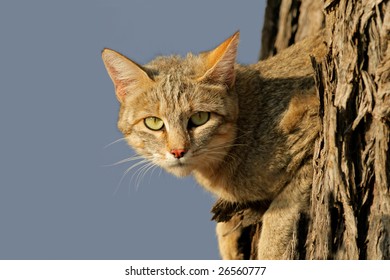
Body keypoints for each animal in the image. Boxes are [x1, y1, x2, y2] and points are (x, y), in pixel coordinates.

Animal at [100, 32, 326, 260]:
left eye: (200, 118)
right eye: (154, 122)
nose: (178, 151)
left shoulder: (315, 132)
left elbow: (283, 206)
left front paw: (271, 250)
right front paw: (228, 238)